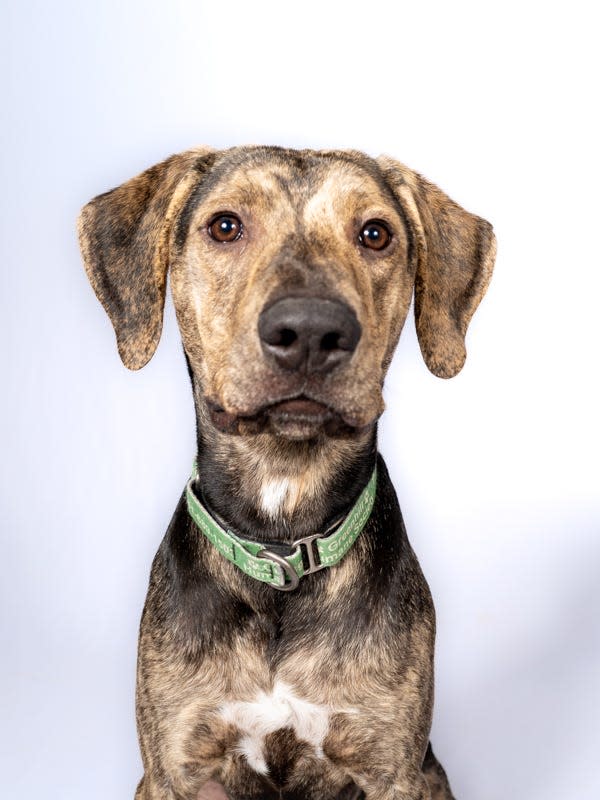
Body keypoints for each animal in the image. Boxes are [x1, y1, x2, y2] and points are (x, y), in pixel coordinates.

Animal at [77, 145, 494, 800]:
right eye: (225, 226)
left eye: (375, 233)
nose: (311, 331)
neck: (282, 538)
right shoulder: (174, 767)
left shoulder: (393, 765)